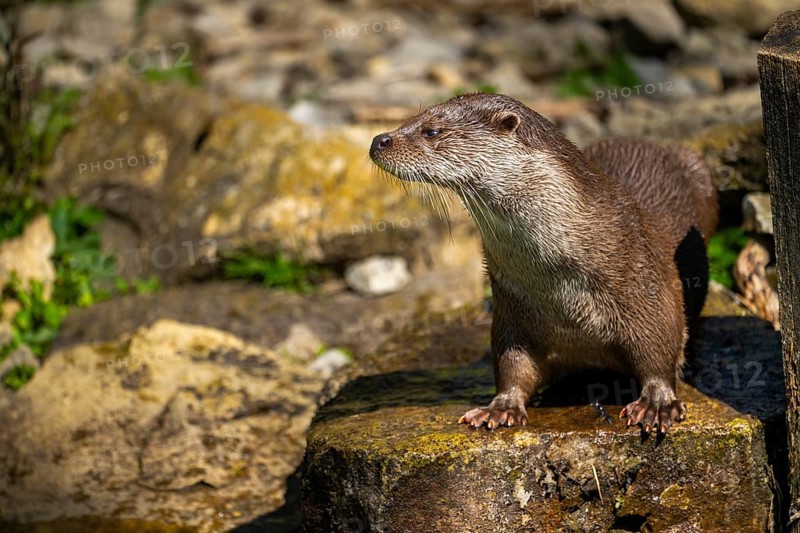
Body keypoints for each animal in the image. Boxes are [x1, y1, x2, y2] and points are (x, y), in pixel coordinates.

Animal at [369, 93, 718, 434]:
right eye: (409, 119)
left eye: (431, 131)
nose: (378, 140)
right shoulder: (512, 312)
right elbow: (512, 365)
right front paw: (501, 407)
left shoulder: (646, 289)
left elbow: (658, 351)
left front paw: (657, 403)